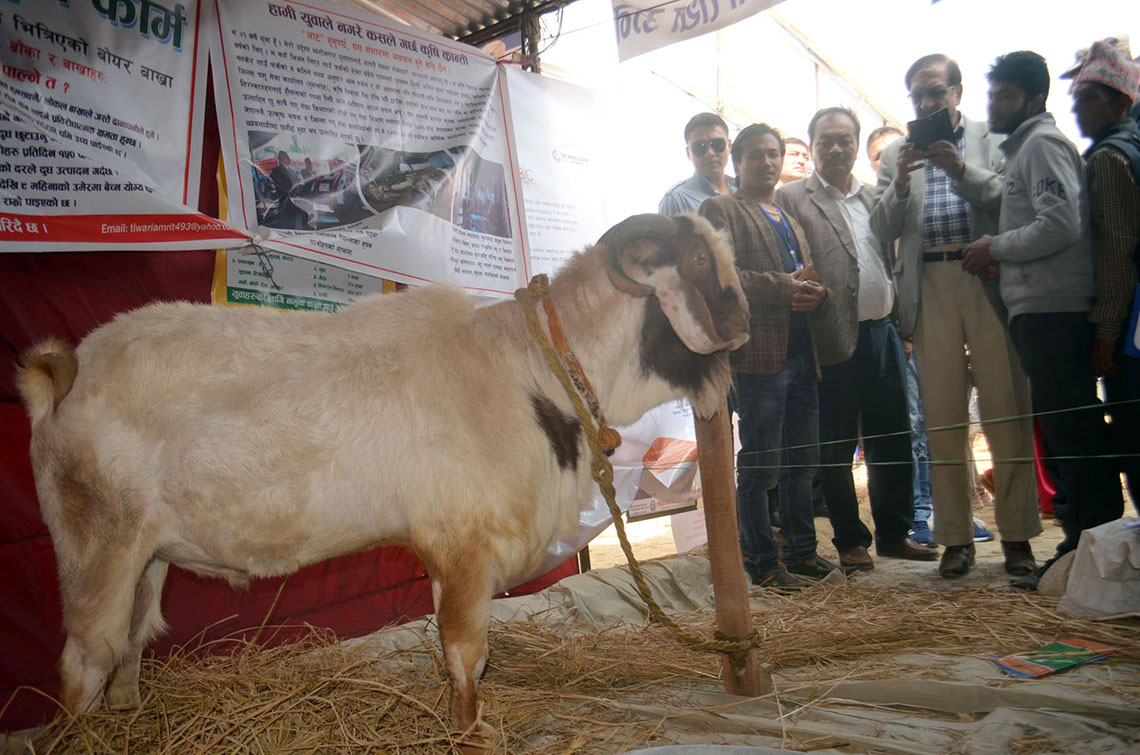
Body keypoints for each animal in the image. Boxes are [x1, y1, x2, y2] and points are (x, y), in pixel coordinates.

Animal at [17, 212, 748, 746]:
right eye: (699, 261)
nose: (744, 322)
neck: (529, 366)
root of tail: (64, 377)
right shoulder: (466, 546)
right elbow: (467, 655)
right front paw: (472, 735)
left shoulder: (443, 551)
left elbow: (453, 659)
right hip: (97, 547)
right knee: (85, 663)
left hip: (147, 558)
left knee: (130, 650)